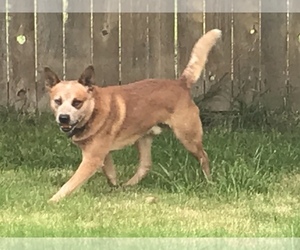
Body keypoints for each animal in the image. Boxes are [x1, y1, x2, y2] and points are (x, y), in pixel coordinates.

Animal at [45, 28, 223, 202]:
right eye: (57, 101)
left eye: (77, 102)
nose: (63, 118)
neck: (93, 111)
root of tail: (181, 83)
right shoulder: (102, 153)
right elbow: (110, 172)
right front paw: (114, 186)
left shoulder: (92, 159)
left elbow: (70, 183)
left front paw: (52, 201)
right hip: (143, 138)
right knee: (145, 165)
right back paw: (128, 186)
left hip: (188, 136)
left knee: (204, 157)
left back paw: (209, 182)